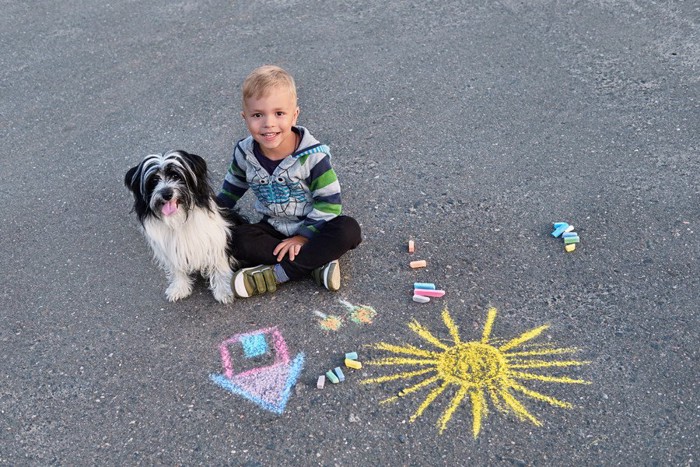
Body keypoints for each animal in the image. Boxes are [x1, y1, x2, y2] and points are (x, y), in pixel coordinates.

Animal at [126, 150, 246, 304]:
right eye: (154, 180)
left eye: (176, 176)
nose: (166, 193)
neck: (179, 219)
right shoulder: (170, 249)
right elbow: (176, 270)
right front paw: (179, 288)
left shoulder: (217, 240)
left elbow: (220, 266)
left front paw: (224, 291)